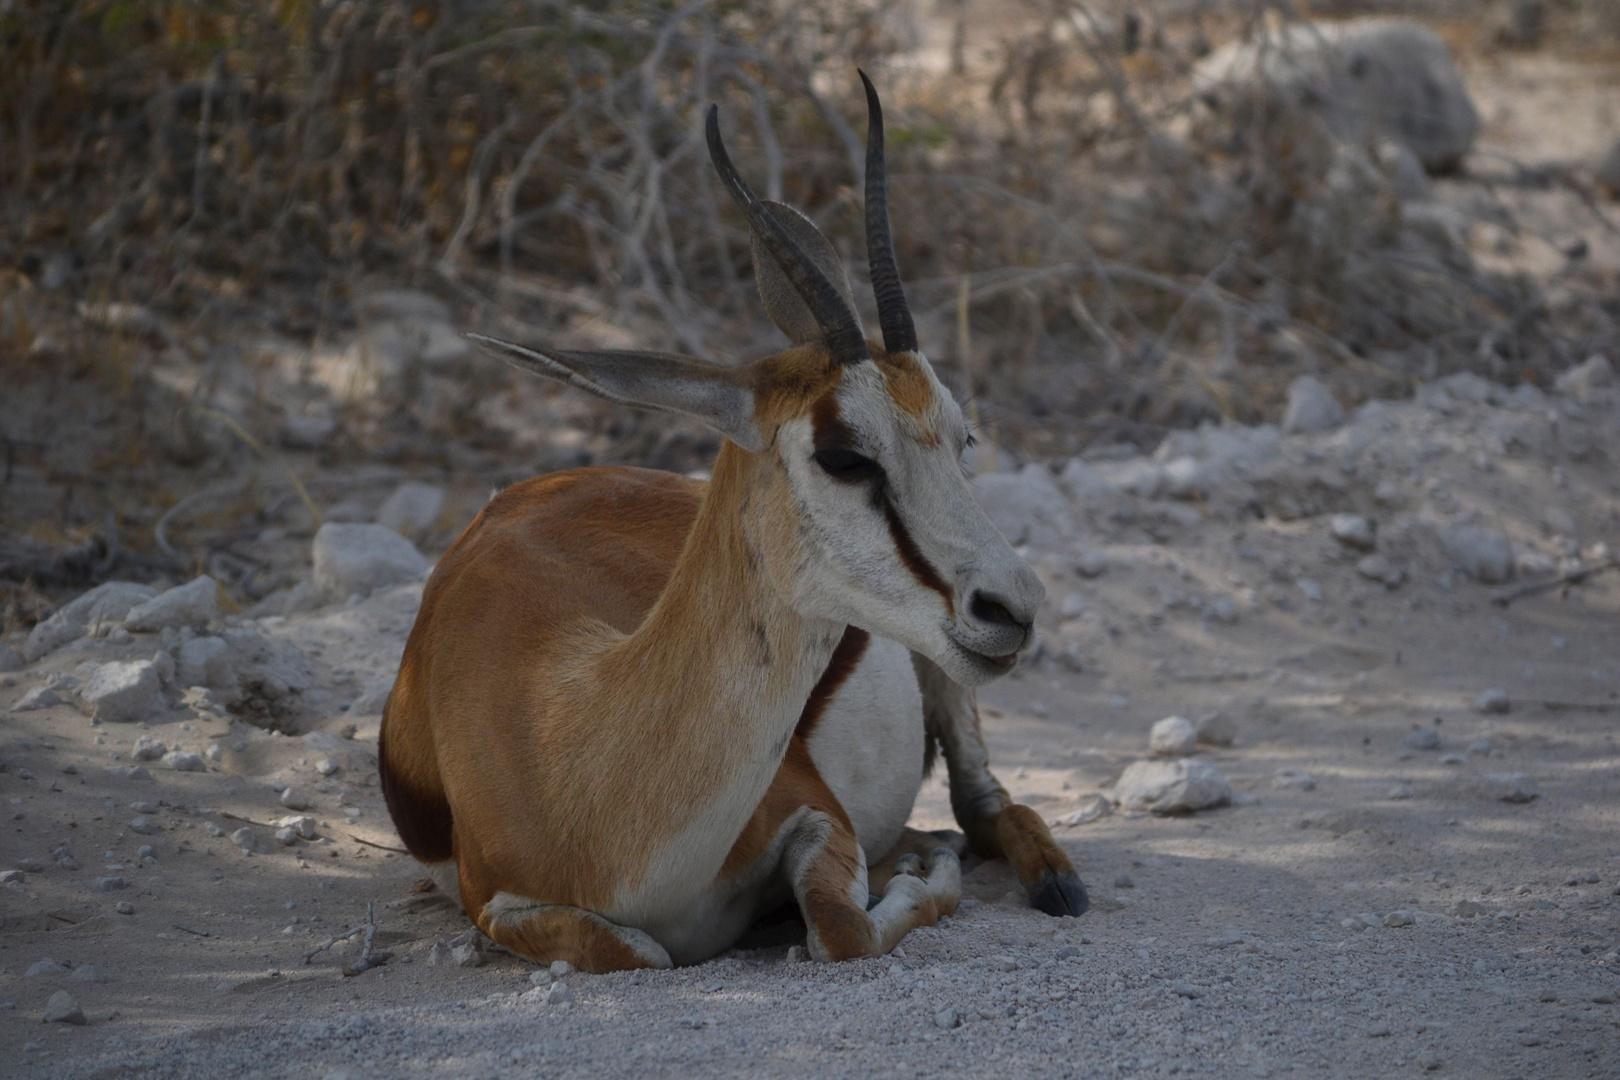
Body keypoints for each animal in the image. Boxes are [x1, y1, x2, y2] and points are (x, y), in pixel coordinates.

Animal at [379, 76, 1088, 971]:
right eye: (845, 456)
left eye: (964, 440)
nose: (1014, 606)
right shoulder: (499, 905)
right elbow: (640, 949)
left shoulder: (818, 815)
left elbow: (844, 927)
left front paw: (922, 872)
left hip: (947, 670)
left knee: (986, 803)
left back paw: (1045, 878)